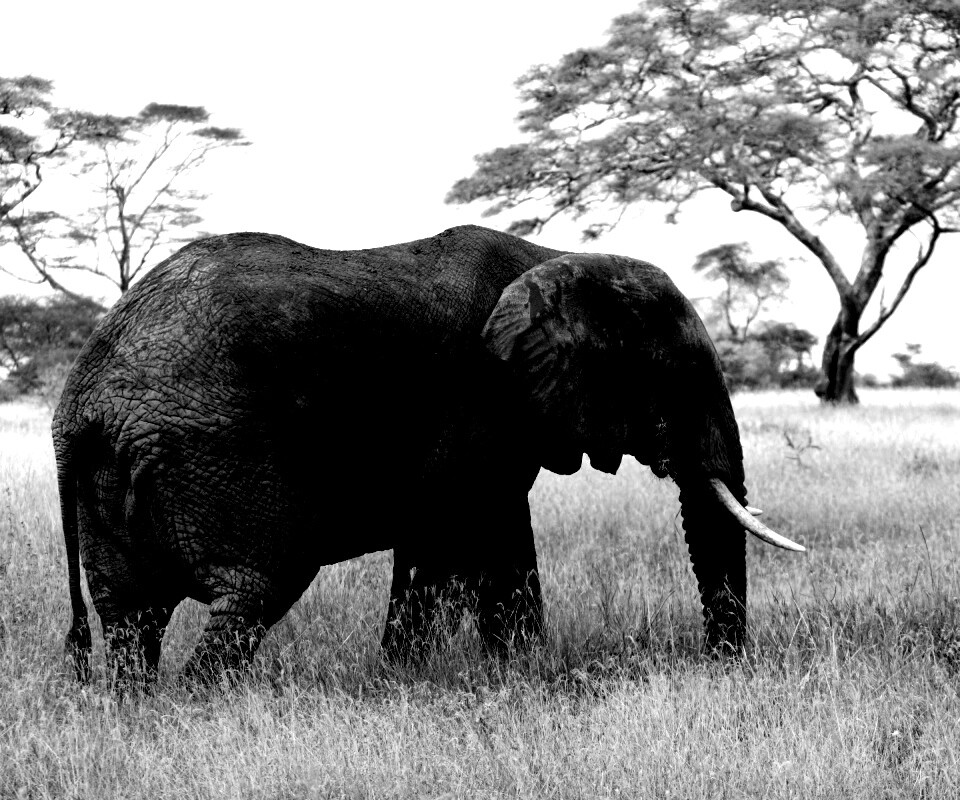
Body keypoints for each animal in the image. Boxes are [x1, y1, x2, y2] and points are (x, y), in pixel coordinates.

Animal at [53, 224, 803, 683]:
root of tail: (82, 403)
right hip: (212, 452)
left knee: (130, 614)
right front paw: (511, 675)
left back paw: (139, 711)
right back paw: (202, 709)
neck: (556, 259)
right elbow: (479, 540)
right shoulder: (485, 403)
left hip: (114, 476)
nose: (721, 665)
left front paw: (430, 676)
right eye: (677, 377)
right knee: (256, 586)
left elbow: (446, 545)